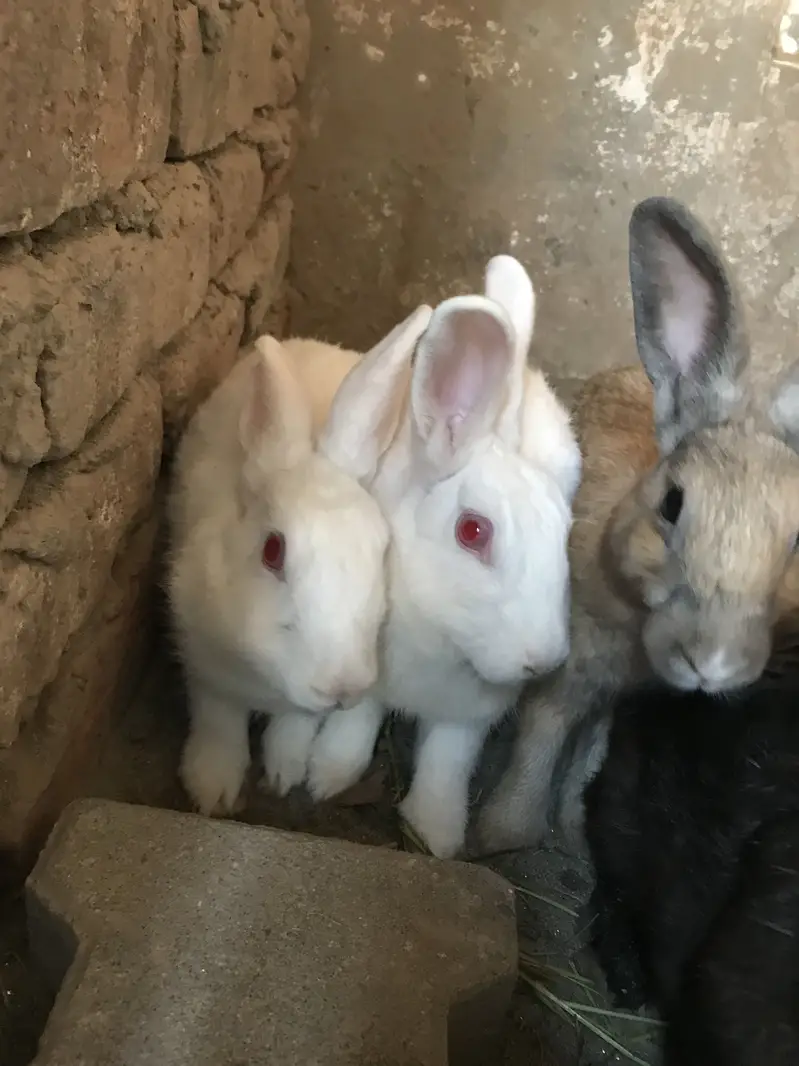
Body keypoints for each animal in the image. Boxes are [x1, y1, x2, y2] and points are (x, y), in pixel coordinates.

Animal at [167, 305, 433, 817]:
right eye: (273, 552)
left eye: (381, 548)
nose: (342, 687)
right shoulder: (204, 660)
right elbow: (219, 717)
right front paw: (213, 789)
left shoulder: (304, 706)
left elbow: (296, 724)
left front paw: (284, 773)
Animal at [266, 255, 583, 859]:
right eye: (473, 531)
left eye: (565, 528)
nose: (544, 661)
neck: (445, 636)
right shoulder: (372, 677)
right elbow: (358, 721)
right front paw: (330, 774)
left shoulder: (469, 715)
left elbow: (447, 763)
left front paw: (435, 833)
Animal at [476, 195, 799, 857]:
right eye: (672, 504)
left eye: (797, 542)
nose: (712, 662)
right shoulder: (571, 660)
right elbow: (544, 729)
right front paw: (503, 832)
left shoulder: (627, 699)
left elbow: (595, 746)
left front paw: (576, 829)